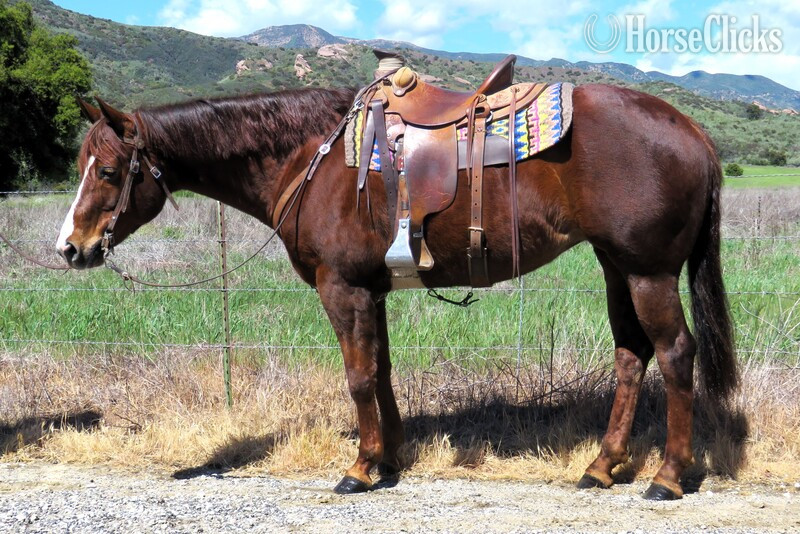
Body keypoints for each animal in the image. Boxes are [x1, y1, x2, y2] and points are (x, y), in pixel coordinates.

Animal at [56, 81, 737, 500]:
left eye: (109, 170)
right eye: (83, 166)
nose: (70, 248)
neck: (310, 159)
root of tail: (694, 132)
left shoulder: (343, 288)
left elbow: (357, 377)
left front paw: (359, 470)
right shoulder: (372, 290)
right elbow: (380, 371)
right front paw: (390, 456)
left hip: (648, 272)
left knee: (675, 354)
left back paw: (668, 476)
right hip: (616, 265)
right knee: (631, 356)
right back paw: (601, 466)